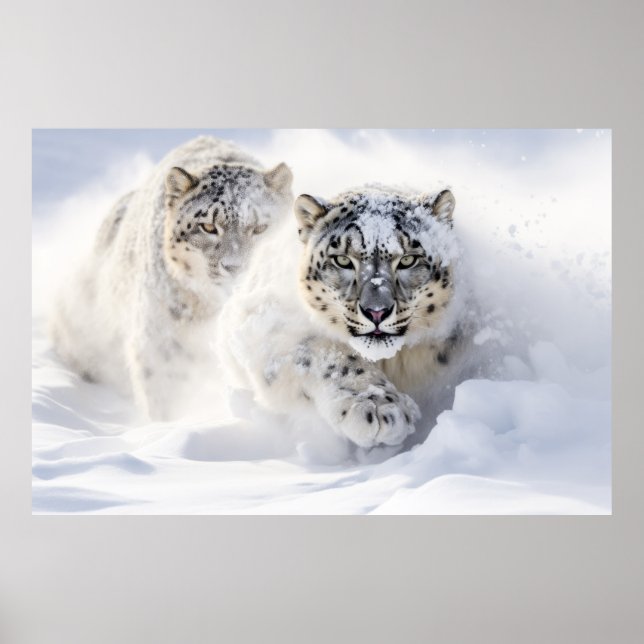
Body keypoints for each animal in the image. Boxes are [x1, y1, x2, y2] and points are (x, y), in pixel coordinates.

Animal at [215, 184, 471, 449]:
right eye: (342, 260)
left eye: (408, 259)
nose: (376, 310)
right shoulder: (265, 324)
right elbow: (326, 351)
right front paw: (377, 405)